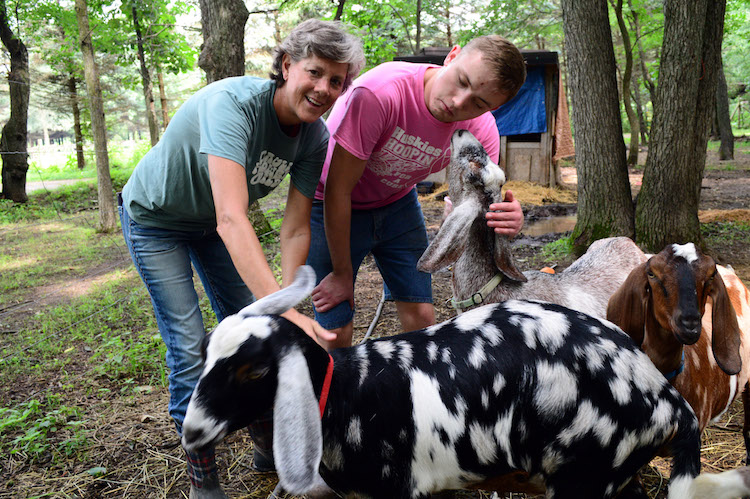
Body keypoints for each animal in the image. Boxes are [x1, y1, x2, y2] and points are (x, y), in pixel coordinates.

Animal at [181, 268, 750, 498]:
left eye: (254, 369)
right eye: (205, 353)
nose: (191, 431)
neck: (349, 394)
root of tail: (669, 404)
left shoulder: (400, 491)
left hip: (585, 475)